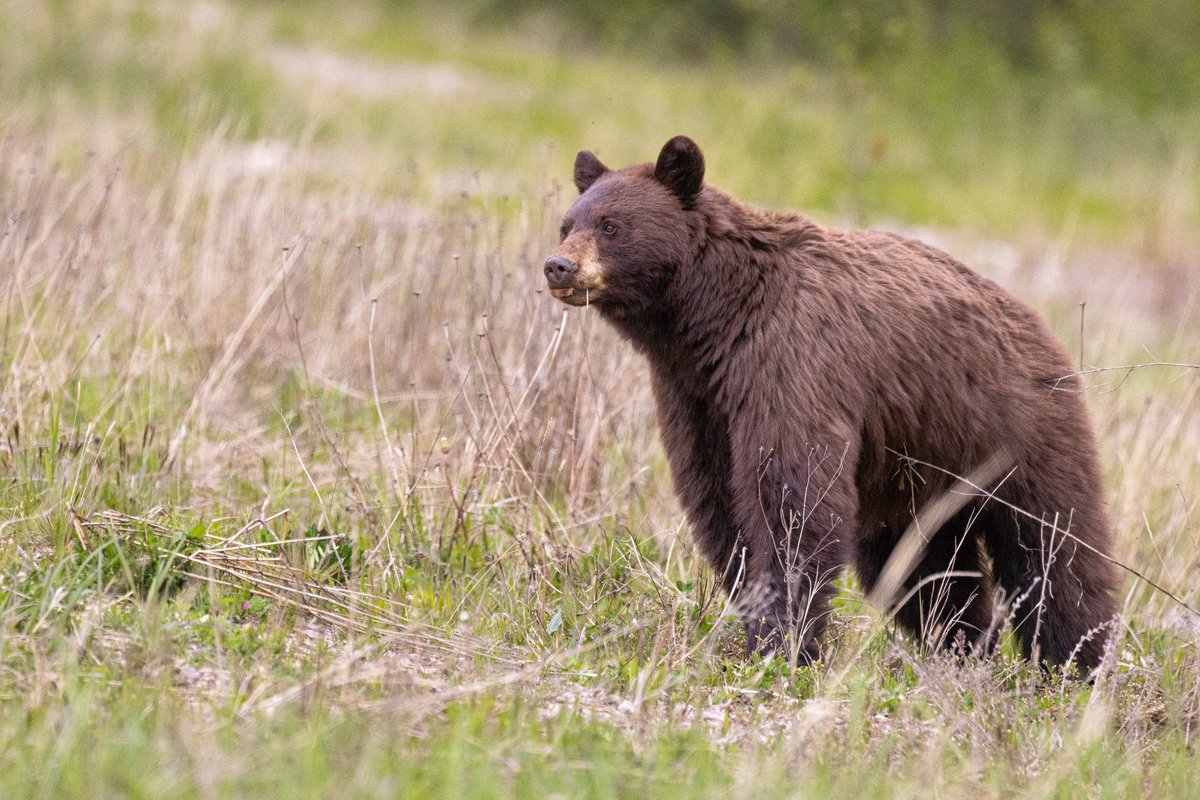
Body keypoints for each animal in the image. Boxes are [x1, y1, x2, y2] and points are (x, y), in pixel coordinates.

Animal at [543, 135, 1118, 671]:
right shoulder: (697, 398)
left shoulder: (792, 366)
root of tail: (1040, 326)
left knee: (1055, 547)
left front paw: (781, 644)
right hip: (917, 474)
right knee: (921, 568)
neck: (715, 321)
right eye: (568, 224)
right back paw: (962, 645)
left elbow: (791, 499)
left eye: (612, 225)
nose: (559, 266)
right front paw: (758, 616)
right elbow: (718, 499)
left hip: (1017, 431)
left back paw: (1076, 662)